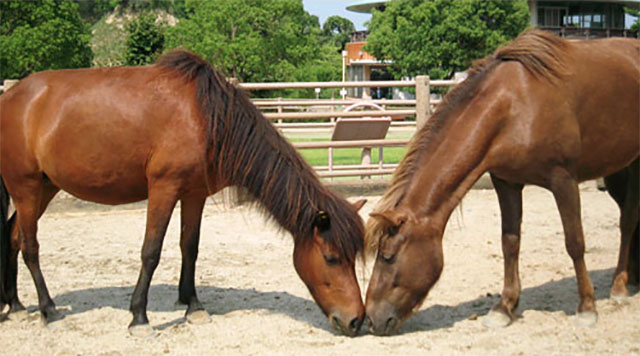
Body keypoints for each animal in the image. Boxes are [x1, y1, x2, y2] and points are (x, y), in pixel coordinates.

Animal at [0, 50, 364, 336]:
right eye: (331, 258)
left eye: (354, 257)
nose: (356, 321)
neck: (207, 120)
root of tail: (11, 97)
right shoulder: (164, 188)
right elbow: (151, 251)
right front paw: (139, 317)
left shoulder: (194, 194)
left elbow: (190, 247)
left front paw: (193, 305)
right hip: (26, 186)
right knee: (30, 246)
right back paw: (48, 310)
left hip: (45, 187)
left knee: (12, 236)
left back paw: (15, 305)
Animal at [362, 29, 636, 334]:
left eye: (388, 256)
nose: (371, 319)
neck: (514, 107)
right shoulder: (506, 182)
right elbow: (510, 242)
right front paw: (504, 307)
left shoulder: (563, 180)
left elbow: (574, 243)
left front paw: (587, 307)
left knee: (627, 222)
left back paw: (619, 287)